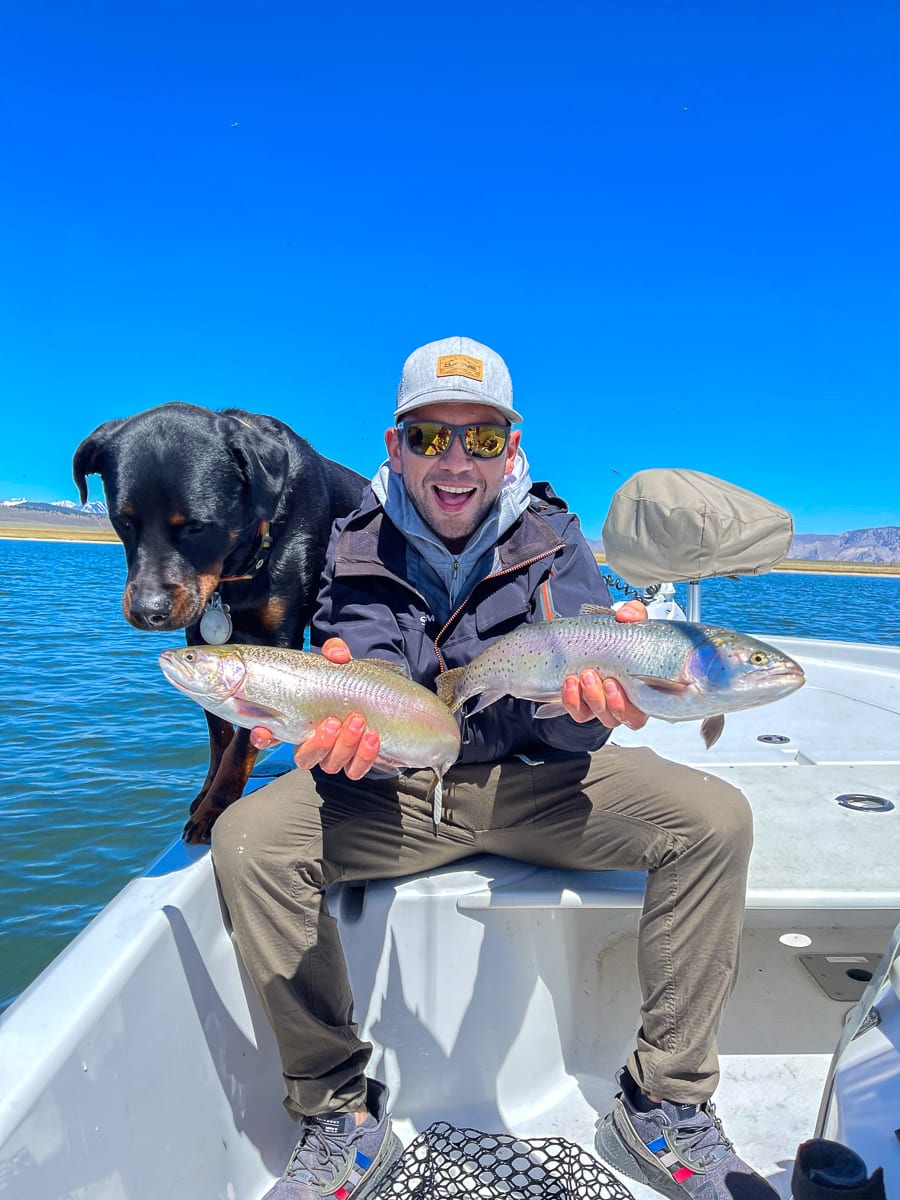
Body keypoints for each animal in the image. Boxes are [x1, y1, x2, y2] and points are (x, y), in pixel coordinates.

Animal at [72, 403, 364, 844]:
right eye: (122, 521)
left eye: (197, 526)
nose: (146, 611)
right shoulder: (200, 633)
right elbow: (219, 735)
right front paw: (206, 794)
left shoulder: (278, 639)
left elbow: (241, 744)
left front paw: (215, 809)